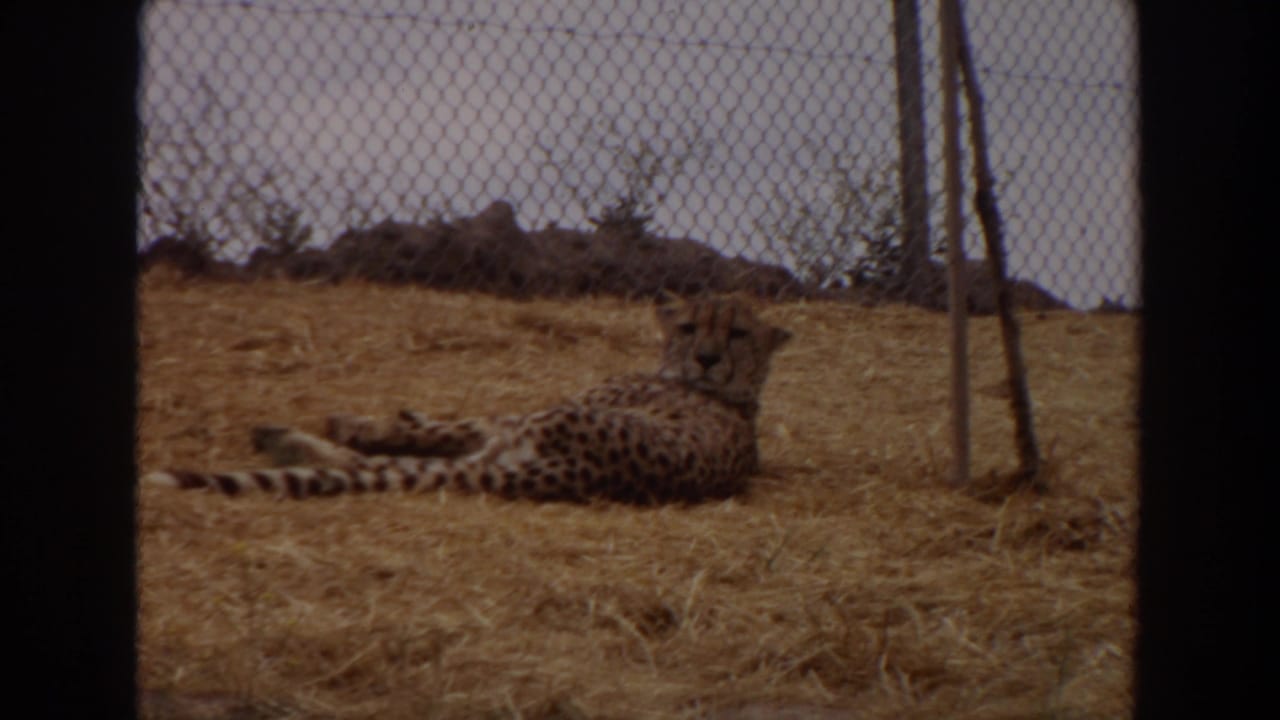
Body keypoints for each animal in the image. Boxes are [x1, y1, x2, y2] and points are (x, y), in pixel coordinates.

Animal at [142, 295, 791, 504]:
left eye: (737, 333)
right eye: (690, 327)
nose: (707, 358)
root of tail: (587, 472)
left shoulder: (517, 416)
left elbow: (445, 424)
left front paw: (370, 419)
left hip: (530, 427)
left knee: (382, 456)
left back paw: (292, 435)